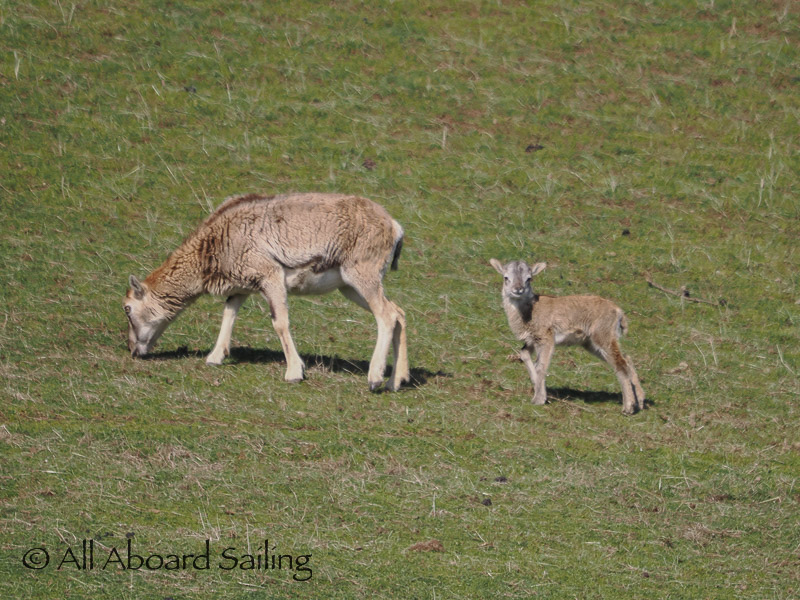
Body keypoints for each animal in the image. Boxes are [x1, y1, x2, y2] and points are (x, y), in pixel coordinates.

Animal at [124, 193, 409, 392]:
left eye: (127, 308)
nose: (133, 349)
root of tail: (395, 227)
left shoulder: (270, 276)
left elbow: (280, 322)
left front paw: (294, 372)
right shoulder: (243, 287)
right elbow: (229, 313)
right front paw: (215, 357)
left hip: (362, 275)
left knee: (386, 316)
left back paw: (375, 379)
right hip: (350, 287)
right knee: (398, 312)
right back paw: (397, 381)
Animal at [490, 259, 645, 414]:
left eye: (529, 278)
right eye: (506, 277)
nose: (518, 289)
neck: (530, 312)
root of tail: (618, 312)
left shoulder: (546, 338)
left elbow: (541, 366)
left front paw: (538, 400)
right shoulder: (532, 341)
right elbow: (524, 354)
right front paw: (540, 390)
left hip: (603, 335)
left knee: (621, 364)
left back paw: (628, 408)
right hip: (592, 343)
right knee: (626, 359)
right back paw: (640, 402)